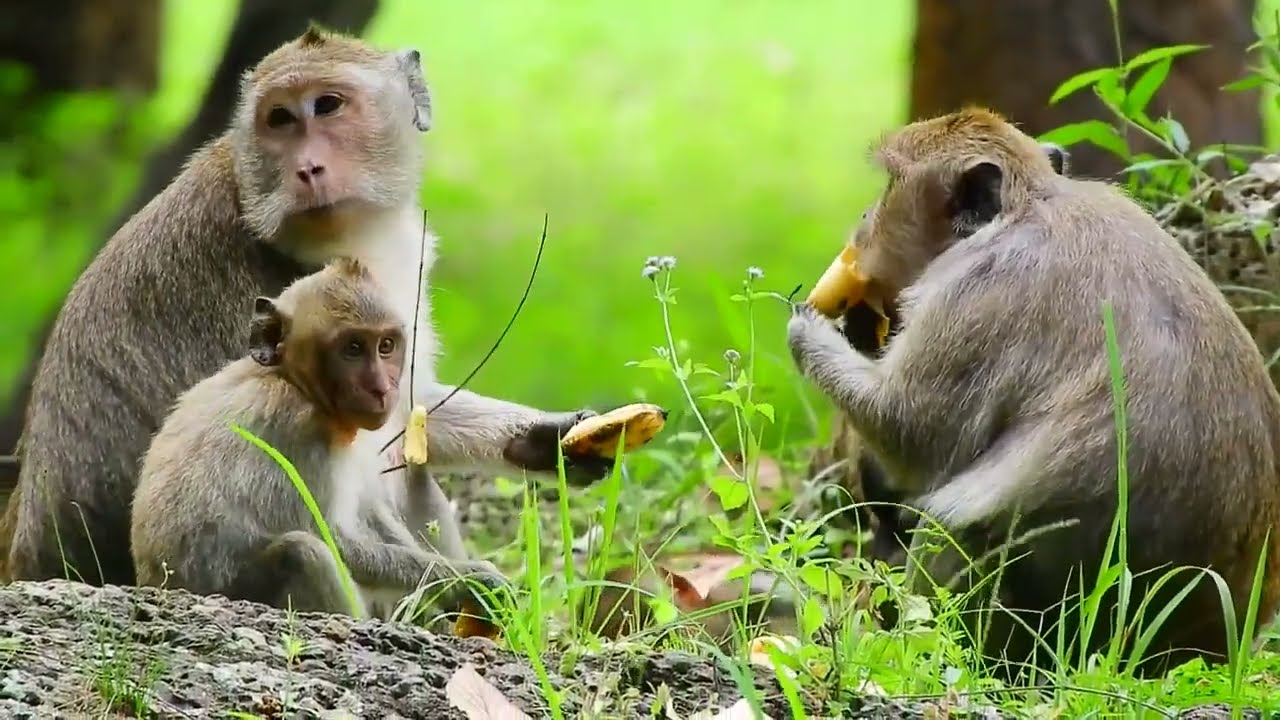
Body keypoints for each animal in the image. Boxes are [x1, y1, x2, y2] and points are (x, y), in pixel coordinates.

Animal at [130, 258, 505, 616]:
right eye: (353, 348)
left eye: (386, 346)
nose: (382, 389)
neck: (291, 381)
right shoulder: (297, 428)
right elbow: (331, 538)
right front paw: (466, 581)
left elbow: (366, 509)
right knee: (303, 554)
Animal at [787, 108, 1280, 681]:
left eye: (890, 187)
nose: (864, 219)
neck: (1031, 204)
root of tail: (1196, 649)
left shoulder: (976, 292)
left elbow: (915, 436)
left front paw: (812, 331)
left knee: (954, 525)